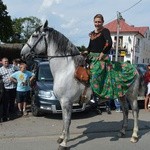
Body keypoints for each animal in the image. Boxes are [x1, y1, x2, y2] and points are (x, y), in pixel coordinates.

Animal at [20, 20, 145, 149]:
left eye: (34, 36)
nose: (22, 54)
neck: (65, 69)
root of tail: (135, 69)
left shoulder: (66, 102)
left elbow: (67, 121)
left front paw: (64, 143)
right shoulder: (64, 102)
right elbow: (65, 120)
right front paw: (61, 137)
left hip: (132, 96)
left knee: (135, 111)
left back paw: (134, 136)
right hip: (121, 95)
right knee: (125, 110)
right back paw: (122, 131)